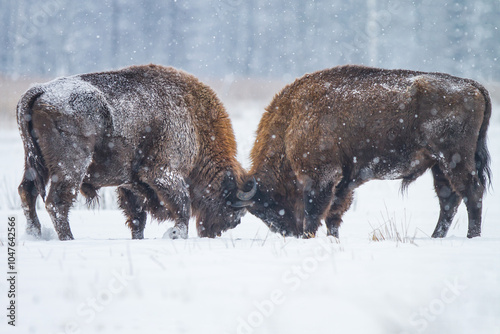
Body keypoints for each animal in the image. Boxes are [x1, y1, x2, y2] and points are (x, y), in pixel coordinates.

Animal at [18, 64, 256, 240]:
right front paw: (176, 235)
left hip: (33, 162)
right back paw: (68, 238)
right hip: (70, 167)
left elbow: (137, 218)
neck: (195, 120)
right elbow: (182, 206)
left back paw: (35, 234)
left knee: (27, 191)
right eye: (231, 205)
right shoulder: (164, 173)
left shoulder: (130, 184)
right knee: (57, 202)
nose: (227, 226)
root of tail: (39, 90)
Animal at [245, 64, 492, 237]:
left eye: (267, 205)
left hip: (454, 159)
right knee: (449, 200)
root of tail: (473, 86)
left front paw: (309, 236)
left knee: (471, 193)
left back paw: (472, 236)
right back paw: (436, 237)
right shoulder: (343, 182)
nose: (290, 233)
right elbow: (333, 216)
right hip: (438, 165)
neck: (291, 119)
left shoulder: (321, 176)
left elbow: (315, 213)